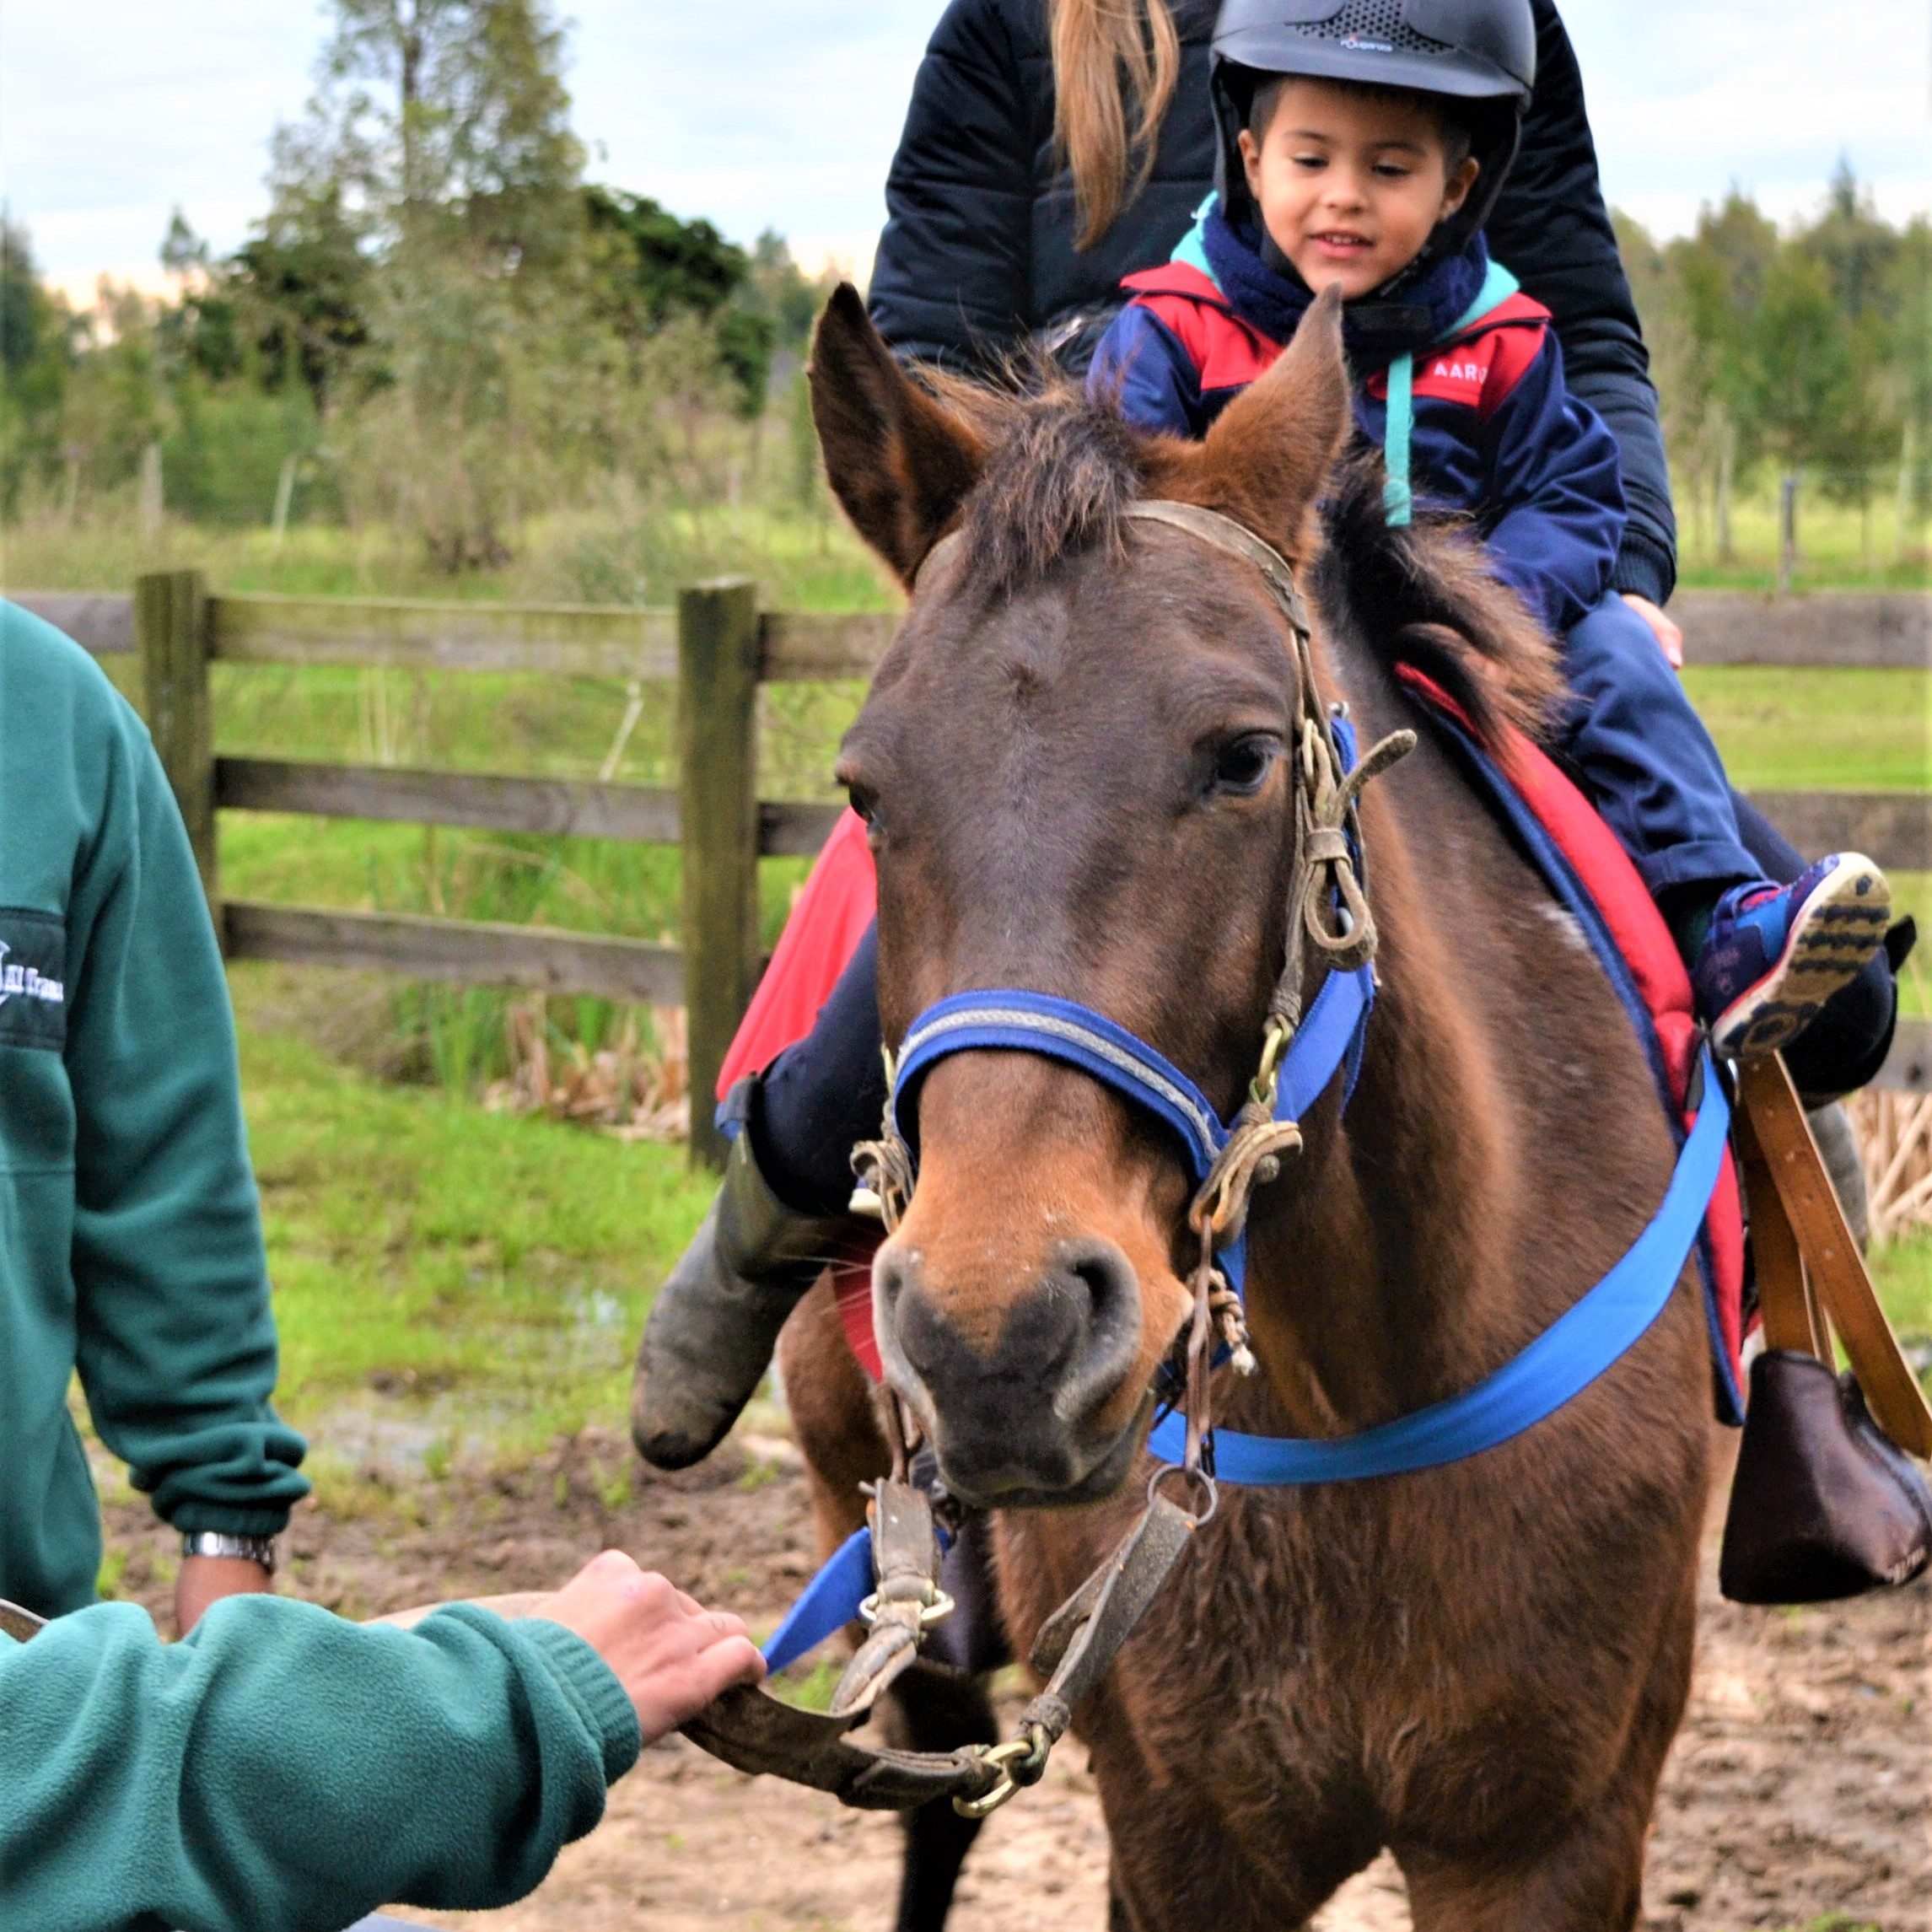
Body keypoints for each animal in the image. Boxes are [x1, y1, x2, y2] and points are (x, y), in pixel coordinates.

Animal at [773, 283, 1713, 1932]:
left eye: (1243, 757)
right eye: (866, 789)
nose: (997, 1335)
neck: (1369, 1382)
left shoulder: (1548, 1836)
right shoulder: (1183, 1839)